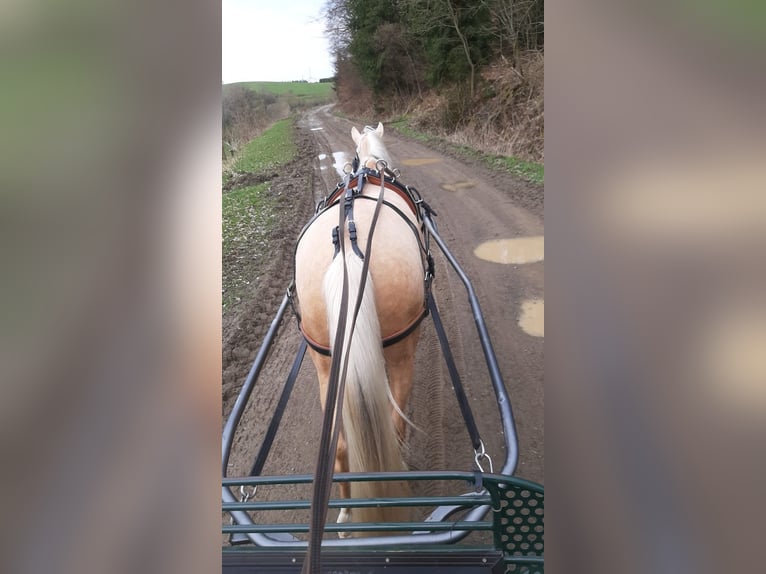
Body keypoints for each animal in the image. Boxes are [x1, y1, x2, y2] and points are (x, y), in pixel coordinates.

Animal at [294, 122, 426, 536]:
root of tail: (348, 250)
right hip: (403, 352)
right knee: (395, 425)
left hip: (325, 362)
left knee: (337, 447)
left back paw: (346, 515)